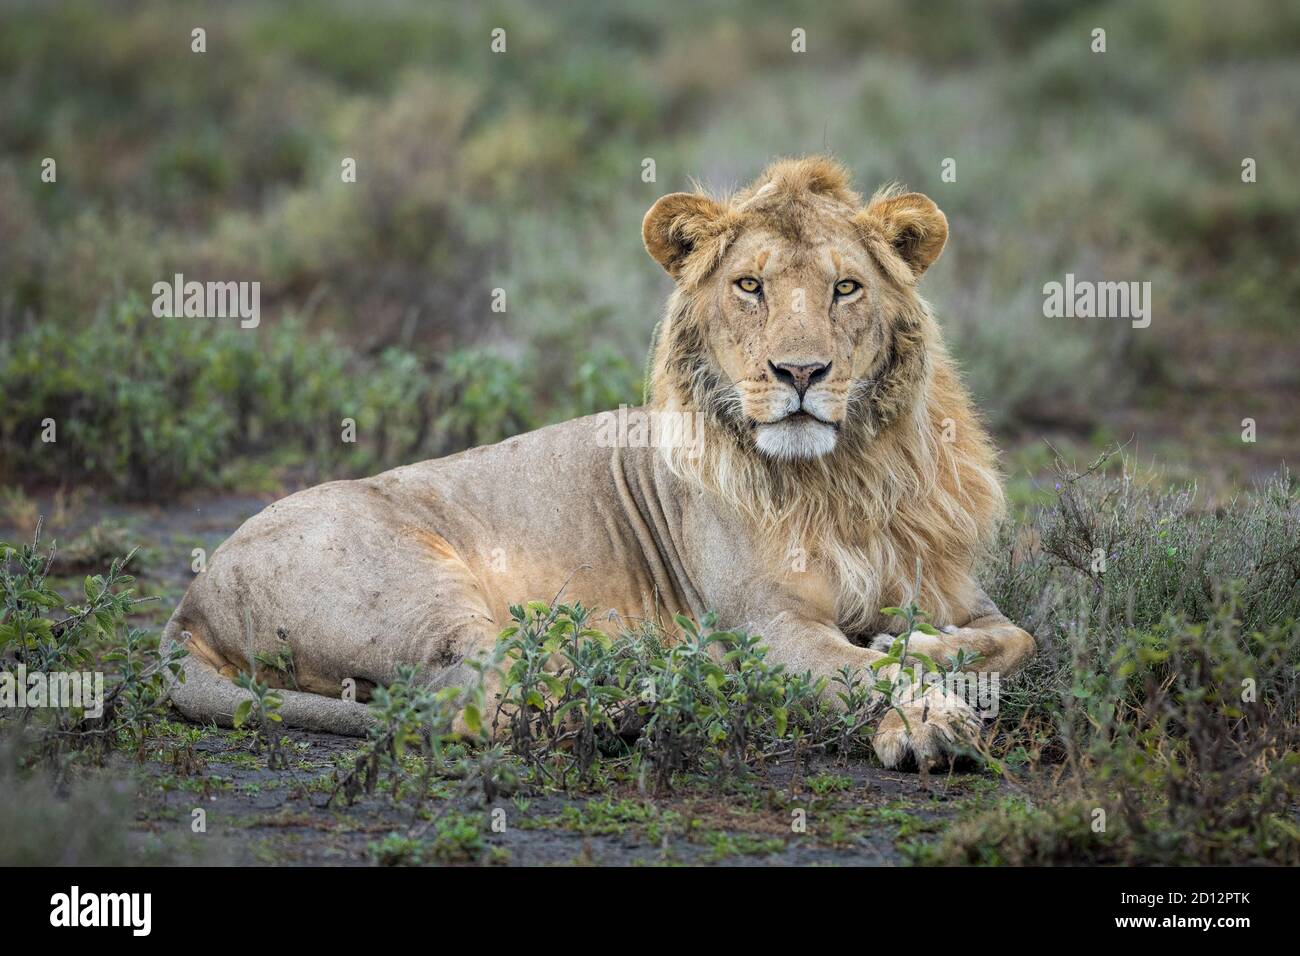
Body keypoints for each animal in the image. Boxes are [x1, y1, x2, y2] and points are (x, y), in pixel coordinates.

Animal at [164, 156, 1035, 768]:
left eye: (846, 288)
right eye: (750, 286)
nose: (799, 373)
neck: (844, 477)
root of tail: (191, 597)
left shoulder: (960, 592)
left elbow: (1014, 638)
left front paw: (913, 649)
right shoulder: (763, 626)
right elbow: (859, 671)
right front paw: (926, 720)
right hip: (418, 588)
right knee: (476, 700)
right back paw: (636, 696)